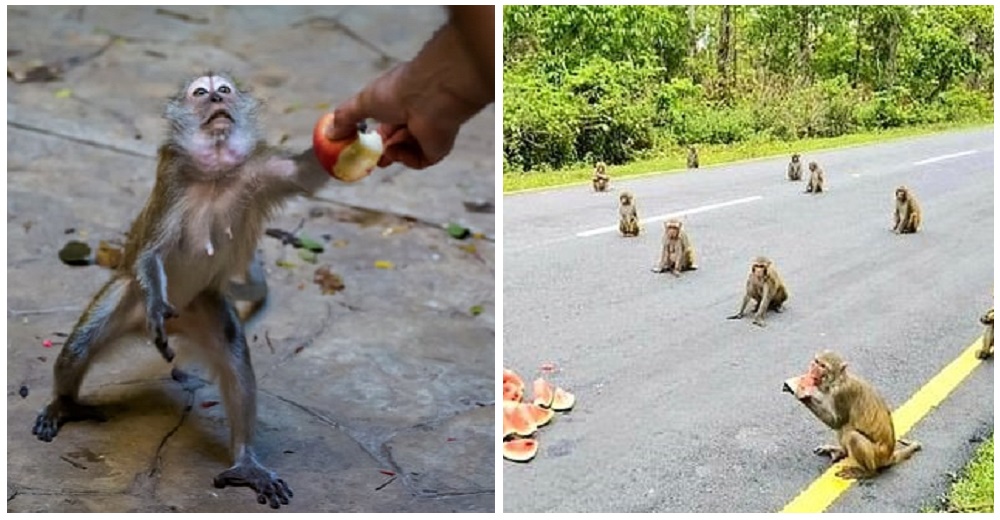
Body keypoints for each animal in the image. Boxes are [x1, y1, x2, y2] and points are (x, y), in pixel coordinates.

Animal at [30, 72, 344, 508]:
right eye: (201, 93)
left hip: (203, 304)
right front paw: (157, 306)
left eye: (224, 90)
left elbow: (306, 175)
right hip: (128, 293)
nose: (216, 99)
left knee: (232, 353)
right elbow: (152, 250)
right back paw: (65, 403)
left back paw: (246, 461)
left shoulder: (260, 168)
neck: (214, 171)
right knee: (80, 344)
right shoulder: (172, 178)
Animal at [788, 350, 920, 480]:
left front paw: (802, 394)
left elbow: (837, 422)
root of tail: (889, 456)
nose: (813, 368)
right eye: (816, 361)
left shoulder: (842, 394)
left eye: (823, 366)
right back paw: (841, 451)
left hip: (877, 456)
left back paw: (868, 472)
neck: (837, 381)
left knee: (851, 434)